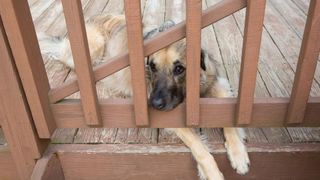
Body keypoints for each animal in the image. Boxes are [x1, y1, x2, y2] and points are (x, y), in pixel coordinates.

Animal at [38, 14, 250, 180]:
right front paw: (212, 172)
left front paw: (238, 154)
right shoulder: (171, 116)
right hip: (89, 51)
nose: (154, 104)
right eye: (152, 66)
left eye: (179, 69)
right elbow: (197, 144)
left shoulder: (218, 85)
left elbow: (229, 121)